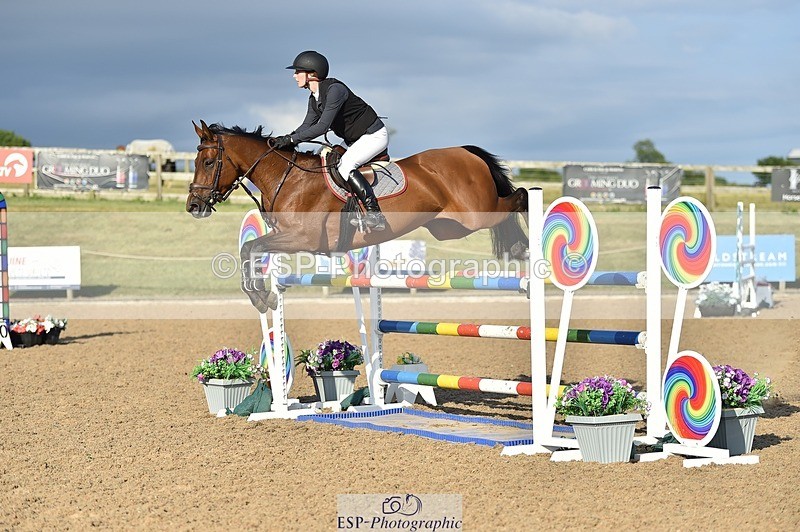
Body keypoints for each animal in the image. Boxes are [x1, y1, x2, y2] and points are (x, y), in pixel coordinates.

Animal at [186, 120, 529, 312]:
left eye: (207, 162)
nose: (193, 205)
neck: (288, 177)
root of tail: (466, 152)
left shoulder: (302, 238)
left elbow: (251, 247)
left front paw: (262, 297)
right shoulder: (285, 237)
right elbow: (249, 249)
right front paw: (262, 298)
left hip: (475, 215)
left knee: (519, 197)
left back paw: (522, 244)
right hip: (448, 227)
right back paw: (517, 246)